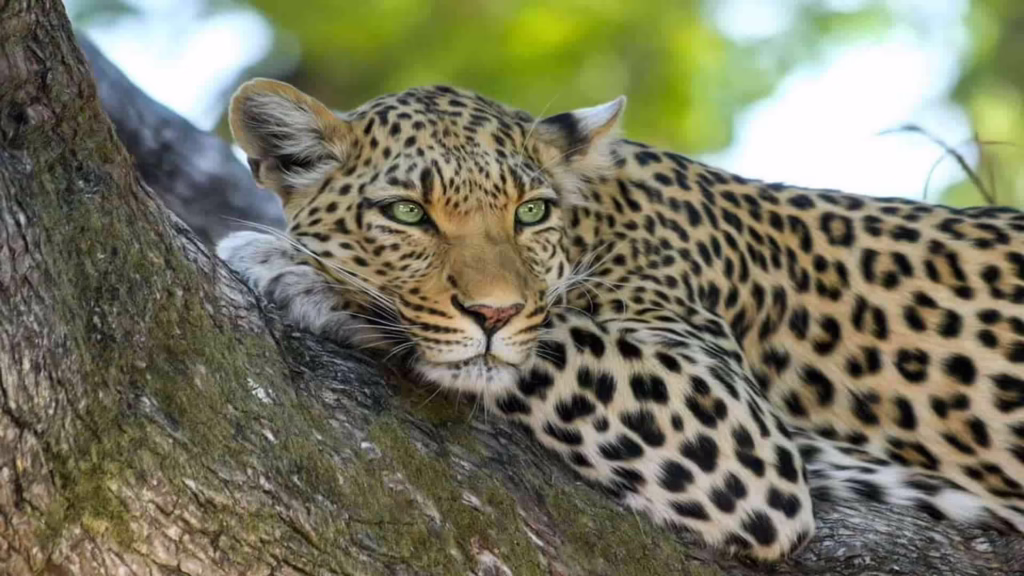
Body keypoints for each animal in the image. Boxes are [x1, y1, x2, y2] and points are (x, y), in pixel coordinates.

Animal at [216, 78, 1024, 561]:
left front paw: (295, 268)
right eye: (408, 214)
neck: (597, 219)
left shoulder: (736, 430)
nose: (493, 310)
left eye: (530, 212)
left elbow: (552, 340)